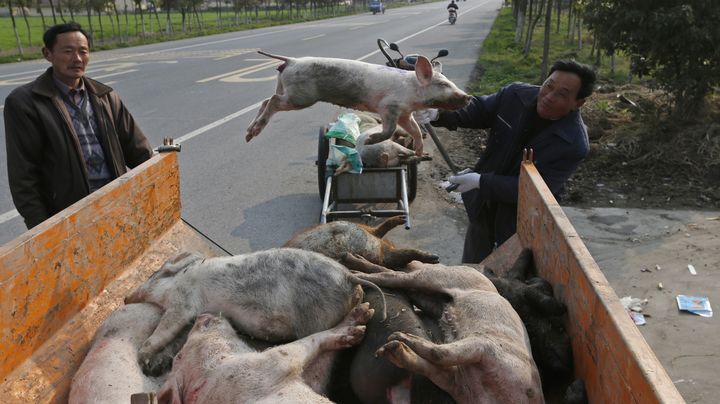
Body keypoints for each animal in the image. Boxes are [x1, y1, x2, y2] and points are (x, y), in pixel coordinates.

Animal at [124, 248, 386, 378]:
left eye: (152, 275)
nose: (125, 297)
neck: (175, 283)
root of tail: (349, 277)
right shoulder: (191, 315)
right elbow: (177, 338)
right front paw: (151, 365)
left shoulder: (182, 303)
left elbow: (164, 329)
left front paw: (141, 357)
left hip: (315, 316)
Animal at [157, 292, 372, 402]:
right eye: (179, 356)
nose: (200, 316)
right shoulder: (270, 365)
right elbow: (307, 342)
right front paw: (363, 319)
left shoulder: (313, 384)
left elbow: (319, 373)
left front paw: (364, 309)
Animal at [245, 50, 470, 156]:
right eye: (443, 84)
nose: (468, 97)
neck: (412, 94)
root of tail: (291, 60)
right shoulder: (389, 106)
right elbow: (389, 130)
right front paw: (369, 141)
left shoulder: (405, 113)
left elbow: (414, 129)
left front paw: (419, 152)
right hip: (300, 96)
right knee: (273, 101)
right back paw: (251, 135)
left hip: (284, 88)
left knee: (266, 100)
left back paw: (248, 134)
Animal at [286, 216, 442, 270]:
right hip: (380, 253)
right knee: (400, 254)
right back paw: (432, 258)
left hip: (363, 231)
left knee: (377, 230)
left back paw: (401, 219)